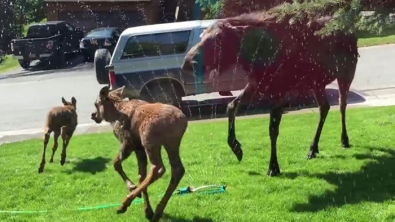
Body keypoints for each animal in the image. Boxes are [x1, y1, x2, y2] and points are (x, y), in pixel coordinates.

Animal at [181, 11, 360, 176]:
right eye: (202, 36)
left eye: (218, 38)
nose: (187, 62)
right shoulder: (256, 85)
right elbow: (231, 106)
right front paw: (236, 147)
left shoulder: (278, 89)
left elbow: (273, 130)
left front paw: (273, 166)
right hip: (317, 83)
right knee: (325, 107)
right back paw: (313, 148)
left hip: (347, 71)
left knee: (342, 104)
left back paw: (344, 140)